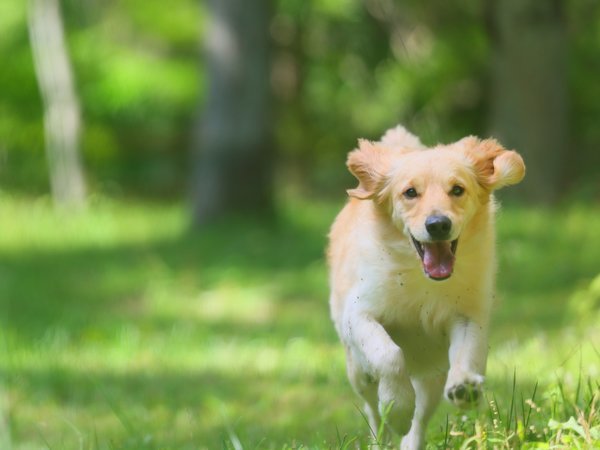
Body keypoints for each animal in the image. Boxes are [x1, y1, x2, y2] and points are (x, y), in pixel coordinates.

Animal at [328, 125, 524, 448]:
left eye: (457, 189)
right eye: (410, 192)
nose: (438, 224)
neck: (421, 278)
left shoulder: (468, 315)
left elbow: (467, 353)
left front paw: (464, 385)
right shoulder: (358, 314)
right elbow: (388, 354)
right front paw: (396, 408)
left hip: (432, 375)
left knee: (420, 419)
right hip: (357, 371)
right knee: (373, 412)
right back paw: (383, 433)